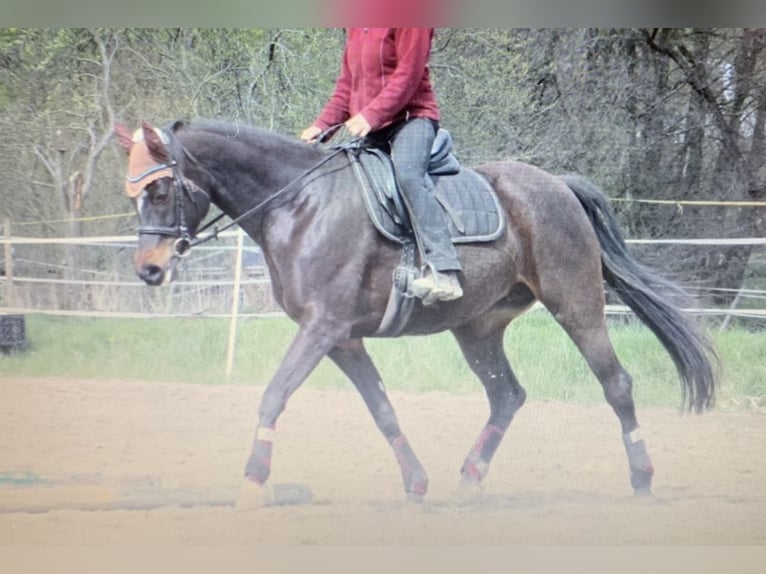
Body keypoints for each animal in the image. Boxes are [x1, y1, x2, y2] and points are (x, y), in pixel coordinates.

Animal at [115, 119, 720, 502]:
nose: (149, 269)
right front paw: (417, 483)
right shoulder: (343, 338)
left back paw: (642, 479)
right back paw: (470, 478)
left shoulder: (322, 327)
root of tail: (557, 185)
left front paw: (251, 484)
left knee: (616, 384)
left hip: (576, 304)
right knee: (507, 395)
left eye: (162, 191)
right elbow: (382, 409)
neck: (299, 204)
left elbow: (273, 396)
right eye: (134, 195)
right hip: (479, 329)